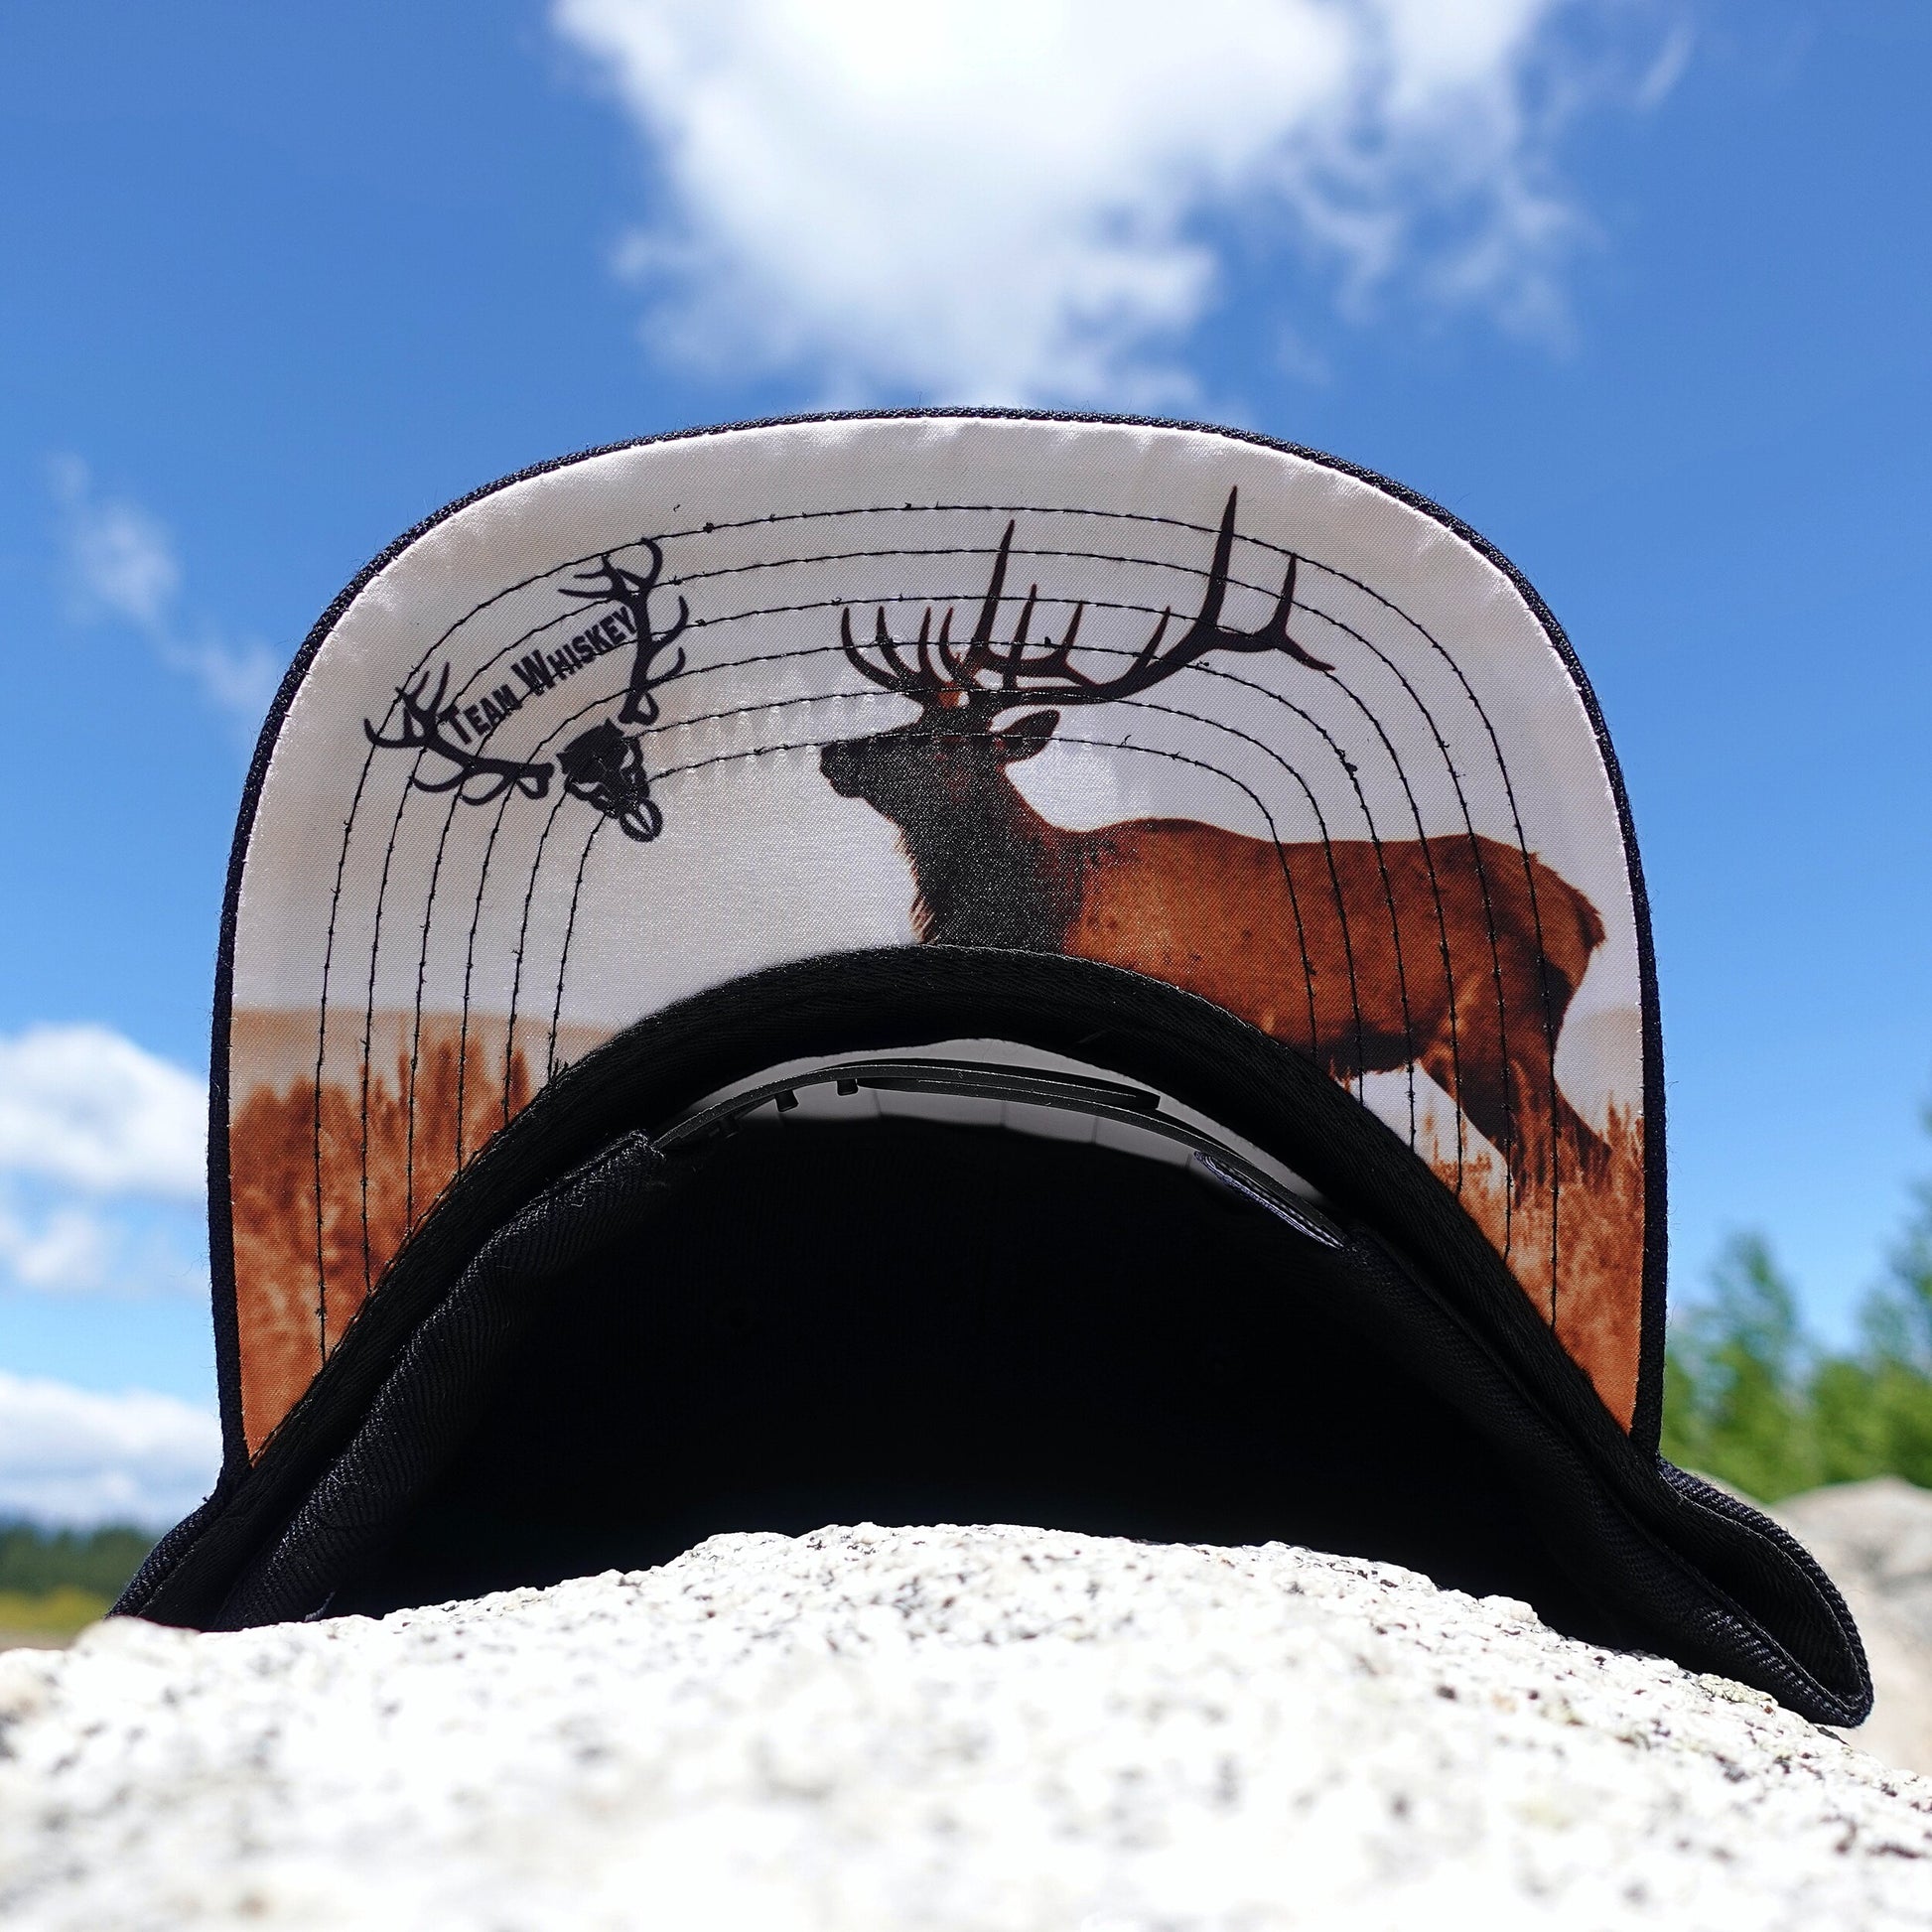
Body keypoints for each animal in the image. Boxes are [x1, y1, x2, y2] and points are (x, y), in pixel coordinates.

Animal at [819, 490, 1609, 1188]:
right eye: (909, 720)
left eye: (946, 742)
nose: (835, 752)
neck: (1049, 904)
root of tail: (1586, 915)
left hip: (1497, 1025)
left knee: (1568, 1159)